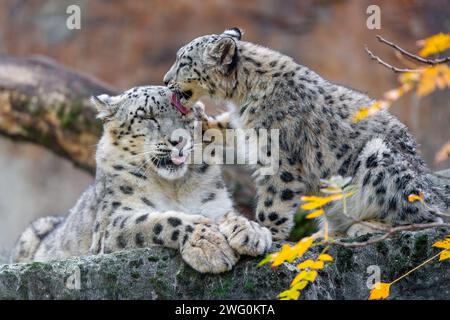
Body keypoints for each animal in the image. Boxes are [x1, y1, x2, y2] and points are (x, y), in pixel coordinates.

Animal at [10, 85, 270, 272]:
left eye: (185, 114)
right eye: (147, 116)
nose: (179, 140)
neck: (174, 187)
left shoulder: (214, 204)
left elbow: (230, 214)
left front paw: (253, 232)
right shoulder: (112, 223)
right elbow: (161, 220)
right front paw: (209, 244)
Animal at [163, 28, 448, 240]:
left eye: (184, 62)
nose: (165, 81)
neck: (242, 97)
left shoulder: (279, 156)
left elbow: (274, 201)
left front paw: (265, 232)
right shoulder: (248, 131)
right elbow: (229, 131)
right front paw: (199, 123)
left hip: (382, 159)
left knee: (423, 216)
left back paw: (364, 226)